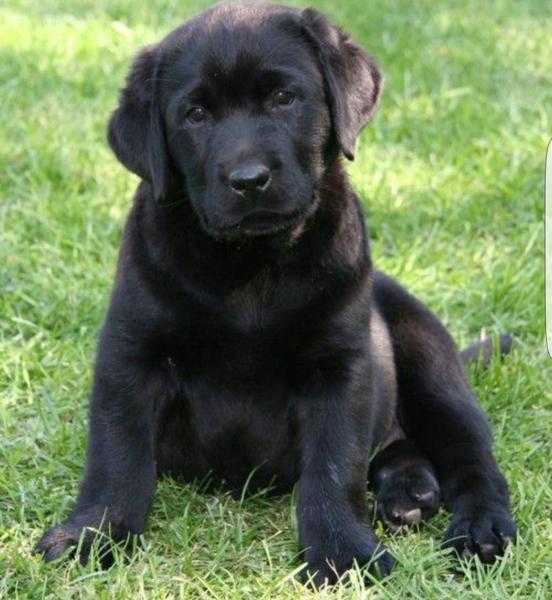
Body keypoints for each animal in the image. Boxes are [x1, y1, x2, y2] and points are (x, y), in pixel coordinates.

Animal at [35, 1, 516, 584]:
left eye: (284, 98)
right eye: (195, 114)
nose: (248, 179)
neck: (252, 265)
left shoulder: (339, 363)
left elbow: (333, 465)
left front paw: (341, 551)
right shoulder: (131, 350)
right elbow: (116, 453)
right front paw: (94, 534)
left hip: (428, 357)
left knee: (472, 456)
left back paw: (479, 527)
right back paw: (408, 491)